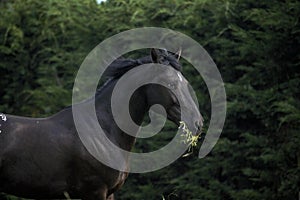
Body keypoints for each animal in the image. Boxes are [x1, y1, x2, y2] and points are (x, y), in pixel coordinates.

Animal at [0, 48, 203, 200]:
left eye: (185, 83)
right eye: (170, 84)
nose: (198, 122)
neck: (103, 131)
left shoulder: (109, 193)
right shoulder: (95, 191)